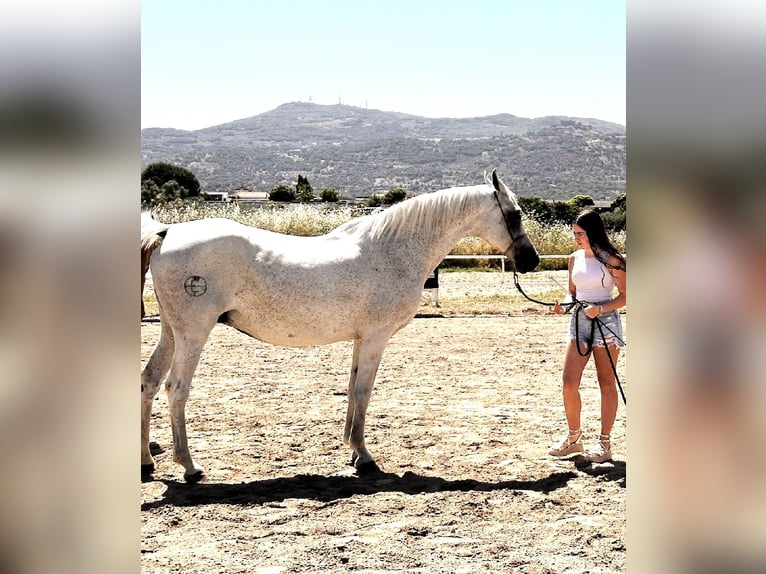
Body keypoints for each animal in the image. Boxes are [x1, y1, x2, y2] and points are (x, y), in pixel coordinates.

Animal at [141, 170, 539, 482]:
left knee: (149, 381)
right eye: (516, 214)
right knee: (176, 389)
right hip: (193, 333)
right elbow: (363, 391)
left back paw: (147, 461)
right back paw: (189, 466)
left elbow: (351, 388)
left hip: (171, 332)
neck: (392, 250)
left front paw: (352, 450)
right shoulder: (377, 338)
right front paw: (365, 458)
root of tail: (167, 233)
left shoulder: (361, 339)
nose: (531, 260)